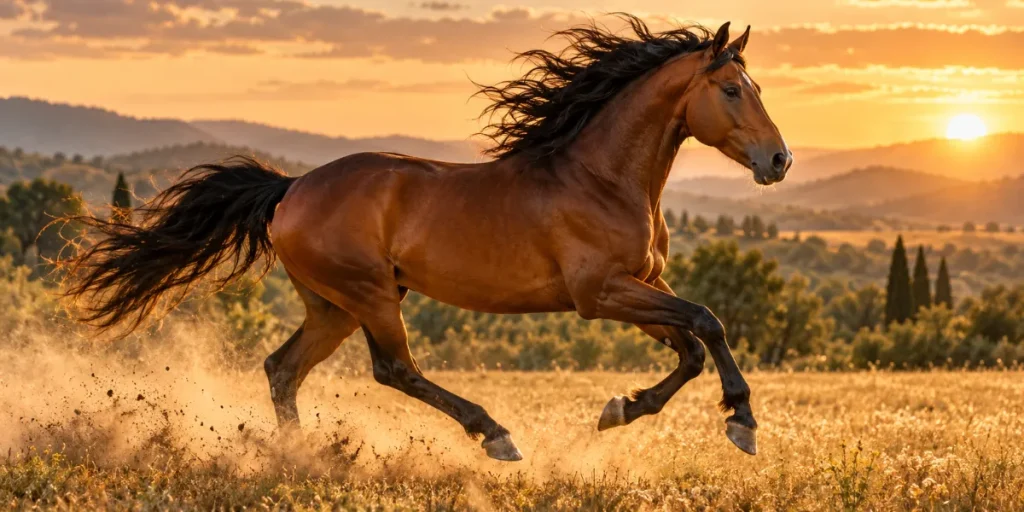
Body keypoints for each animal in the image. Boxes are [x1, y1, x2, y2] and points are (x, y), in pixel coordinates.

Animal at [63, 16, 791, 462]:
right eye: (732, 89)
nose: (779, 161)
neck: (600, 178)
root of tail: (290, 190)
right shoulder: (601, 293)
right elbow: (708, 320)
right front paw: (743, 424)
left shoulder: (639, 286)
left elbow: (690, 347)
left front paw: (621, 409)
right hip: (370, 296)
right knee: (394, 369)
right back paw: (495, 435)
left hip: (332, 307)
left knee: (283, 369)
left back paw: (300, 459)